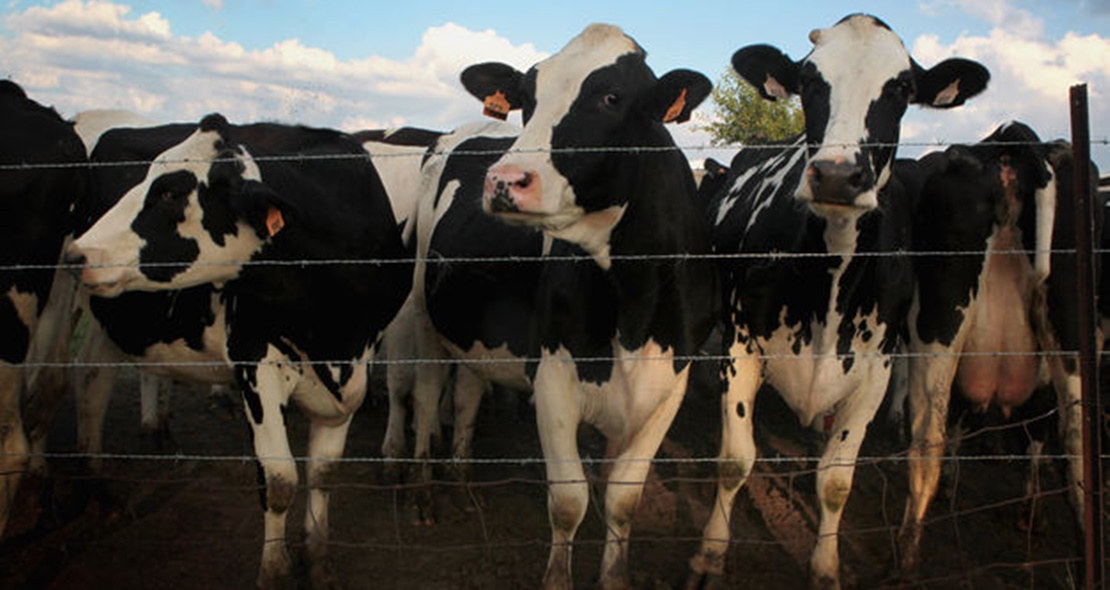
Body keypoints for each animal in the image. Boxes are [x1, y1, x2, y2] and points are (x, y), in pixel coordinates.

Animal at [60, 113, 410, 585]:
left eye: (170, 192)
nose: (78, 255)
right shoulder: (254, 360)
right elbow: (279, 479)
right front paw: (275, 572)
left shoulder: (355, 369)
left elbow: (323, 472)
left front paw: (317, 562)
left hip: (116, 320)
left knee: (92, 381)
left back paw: (101, 489)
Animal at [417, 21, 719, 585]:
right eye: (528, 98)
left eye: (611, 97)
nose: (504, 181)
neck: (632, 306)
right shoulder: (553, 379)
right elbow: (569, 501)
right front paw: (559, 577)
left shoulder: (669, 386)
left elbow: (622, 497)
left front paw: (615, 576)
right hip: (424, 320)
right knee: (425, 398)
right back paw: (424, 496)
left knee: (467, 393)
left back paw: (463, 483)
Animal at [683, 13, 990, 589]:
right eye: (808, 81)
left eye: (901, 88)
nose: (837, 176)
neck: (830, 279)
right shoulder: (740, 348)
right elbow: (735, 459)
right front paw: (708, 558)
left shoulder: (874, 371)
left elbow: (837, 481)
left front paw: (825, 568)